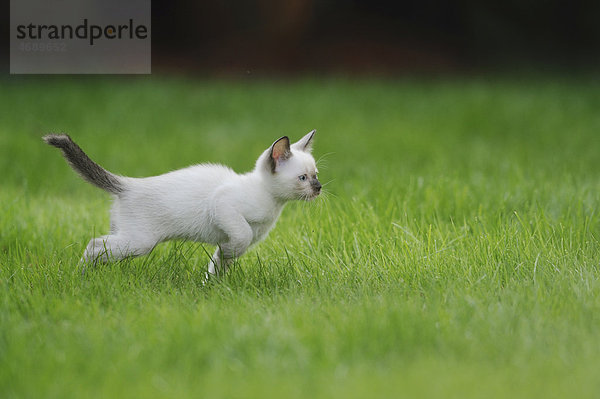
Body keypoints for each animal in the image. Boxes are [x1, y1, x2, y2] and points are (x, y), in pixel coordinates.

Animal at [44, 131, 322, 276]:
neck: (272, 201)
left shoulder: (242, 236)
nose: (318, 188)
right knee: (93, 245)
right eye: (303, 178)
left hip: (125, 236)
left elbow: (222, 259)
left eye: (316, 174)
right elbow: (239, 238)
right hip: (140, 242)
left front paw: (212, 285)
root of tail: (127, 184)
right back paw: (78, 276)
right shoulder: (224, 206)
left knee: (101, 247)